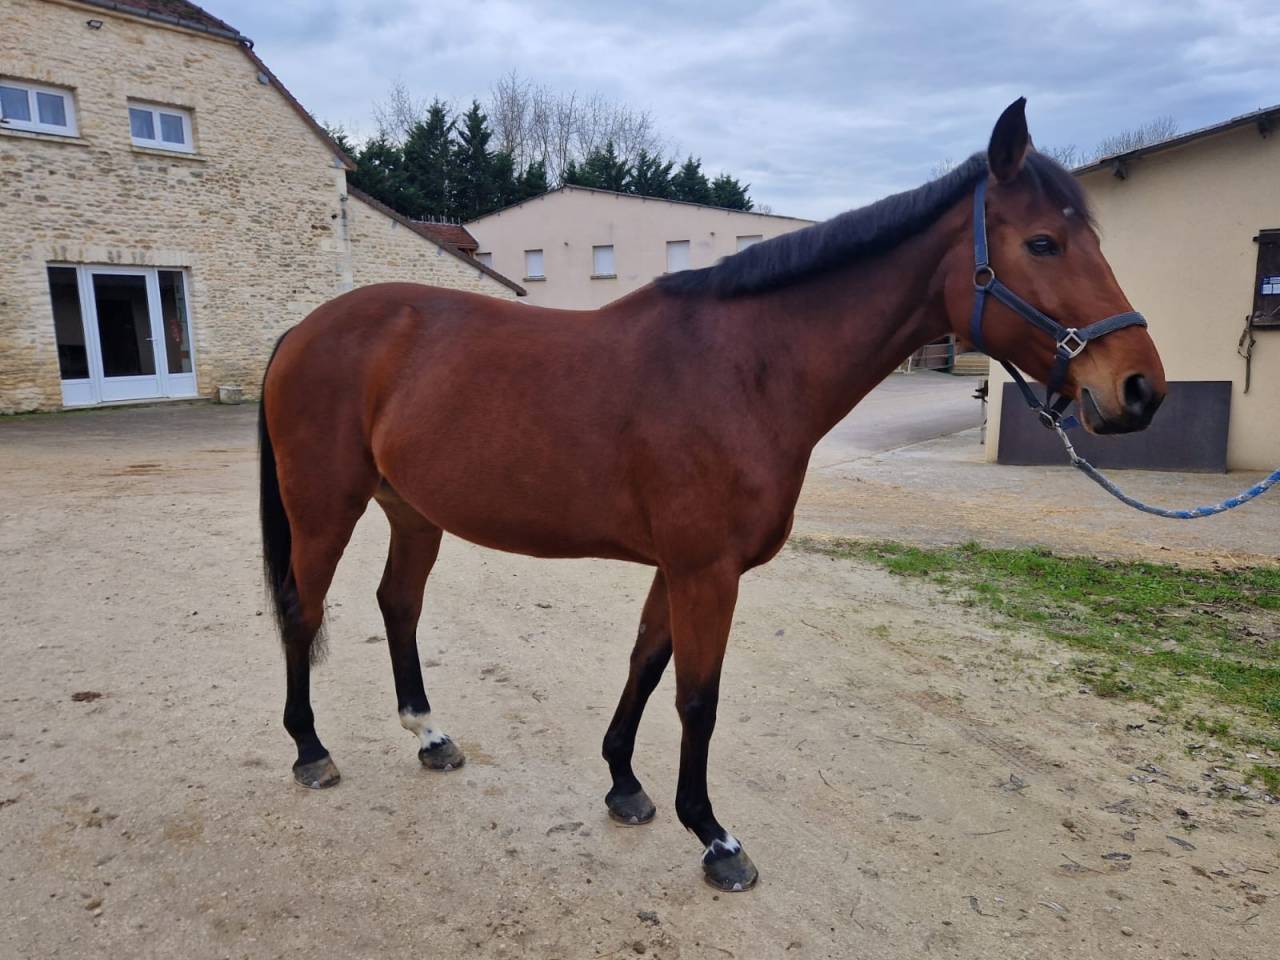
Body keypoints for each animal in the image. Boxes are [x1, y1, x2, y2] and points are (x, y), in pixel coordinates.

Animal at [258, 99, 1166, 892]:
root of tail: (305, 329)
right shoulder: (707, 571)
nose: (1139, 389)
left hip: (412, 510)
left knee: (398, 603)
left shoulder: (679, 568)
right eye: (1043, 242)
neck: (745, 369)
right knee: (305, 610)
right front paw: (714, 836)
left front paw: (624, 785)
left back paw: (430, 735)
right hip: (326, 507)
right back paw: (310, 751)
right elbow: (698, 696)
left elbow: (646, 662)